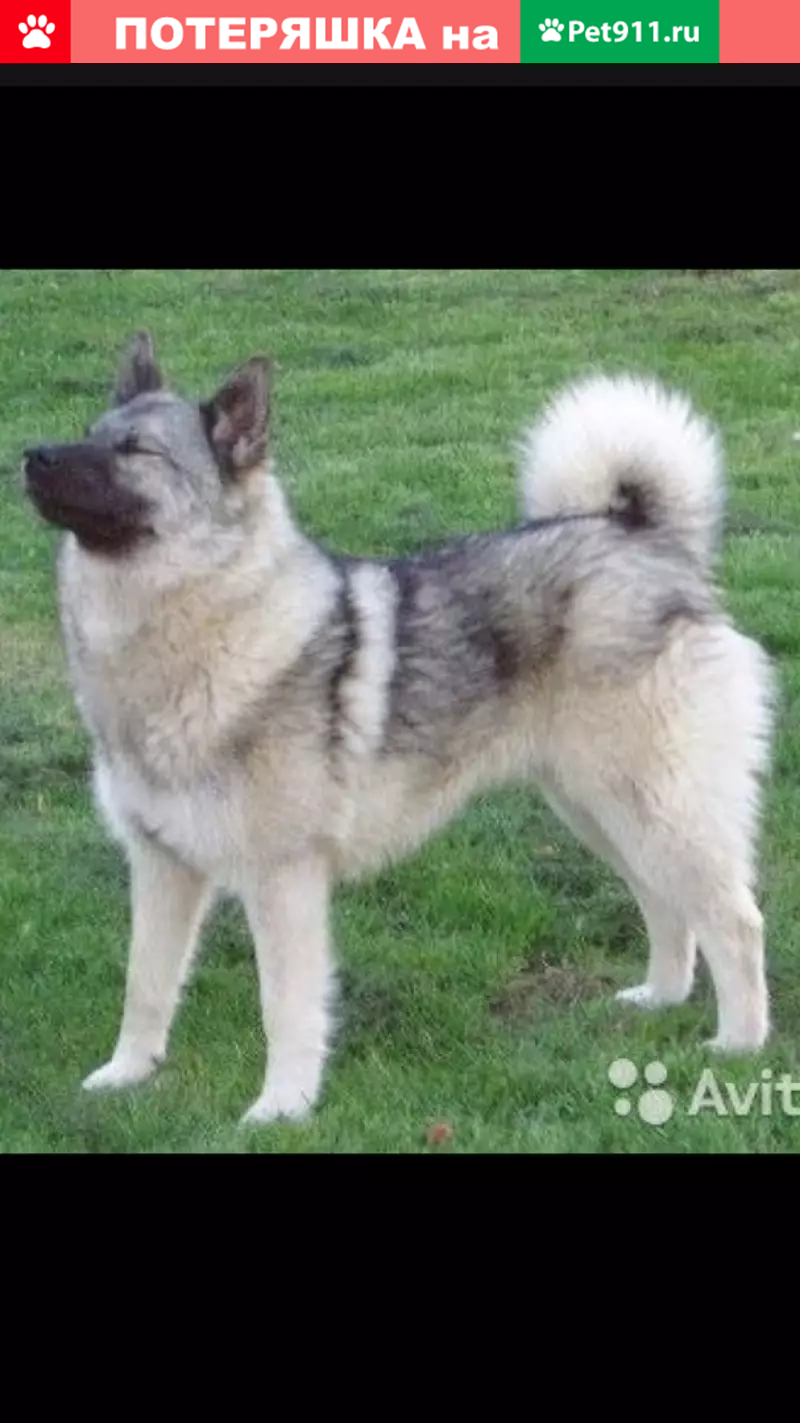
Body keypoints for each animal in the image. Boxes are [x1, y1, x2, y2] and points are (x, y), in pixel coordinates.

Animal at [24, 332, 774, 1124]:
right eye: (89, 433)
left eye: (136, 451)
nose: (32, 455)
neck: (197, 628)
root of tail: (645, 539)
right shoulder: (161, 865)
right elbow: (144, 986)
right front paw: (127, 1074)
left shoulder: (283, 880)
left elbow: (285, 1006)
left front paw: (282, 1107)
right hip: (599, 810)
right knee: (666, 905)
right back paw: (659, 999)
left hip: (654, 805)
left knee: (734, 920)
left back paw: (739, 1044)